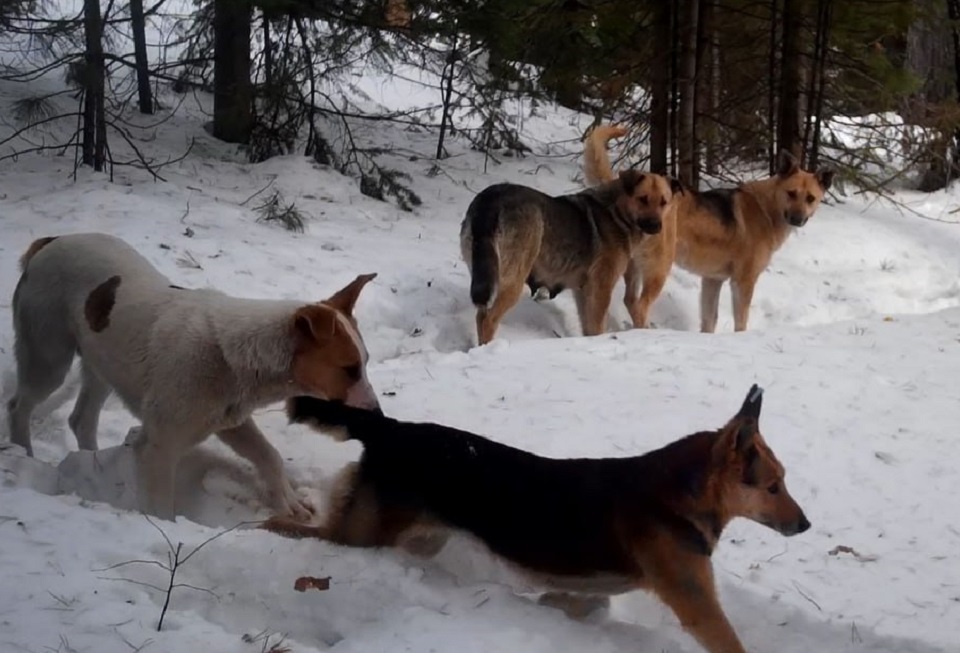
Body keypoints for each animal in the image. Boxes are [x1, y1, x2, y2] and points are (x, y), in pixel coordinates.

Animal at [8, 233, 382, 520]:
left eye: (365, 362)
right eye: (350, 369)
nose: (378, 415)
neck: (230, 356)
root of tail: (51, 242)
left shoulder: (232, 421)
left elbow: (269, 455)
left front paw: (288, 502)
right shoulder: (159, 448)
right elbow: (161, 508)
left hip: (103, 364)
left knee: (81, 419)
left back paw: (96, 466)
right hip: (49, 357)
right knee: (18, 406)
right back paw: (21, 455)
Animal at [264, 382, 808, 652]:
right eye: (773, 486)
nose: (805, 526)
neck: (680, 493)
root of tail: (391, 429)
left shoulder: (585, 589)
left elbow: (572, 601)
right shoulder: (696, 604)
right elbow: (729, 642)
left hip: (418, 537)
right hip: (361, 536)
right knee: (297, 531)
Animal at [460, 172, 680, 346]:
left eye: (664, 202)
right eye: (642, 199)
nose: (656, 226)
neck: (617, 212)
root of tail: (491, 199)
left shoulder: (582, 291)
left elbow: (588, 328)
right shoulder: (601, 287)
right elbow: (597, 325)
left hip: (485, 273)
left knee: (481, 314)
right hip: (512, 280)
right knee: (487, 319)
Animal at [584, 125, 832, 332]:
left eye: (810, 198)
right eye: (791, 193)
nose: (798, 219)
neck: (767, 208)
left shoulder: (713, 280)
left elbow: (709, 320)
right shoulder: (743, 281)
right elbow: (741, 322)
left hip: (634, 267)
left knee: (630, 301)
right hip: (660, 268)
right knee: (641, 306)